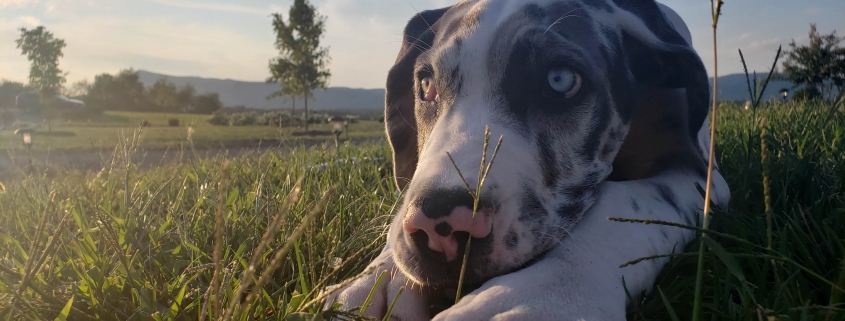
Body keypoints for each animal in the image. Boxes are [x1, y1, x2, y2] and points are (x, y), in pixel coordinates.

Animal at [326, 1, 728, 318]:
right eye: (425, 85)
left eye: (560, 79)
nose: (439, 223)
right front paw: (374, 279)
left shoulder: (700, 176)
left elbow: (622, 206)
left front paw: (540, 293)